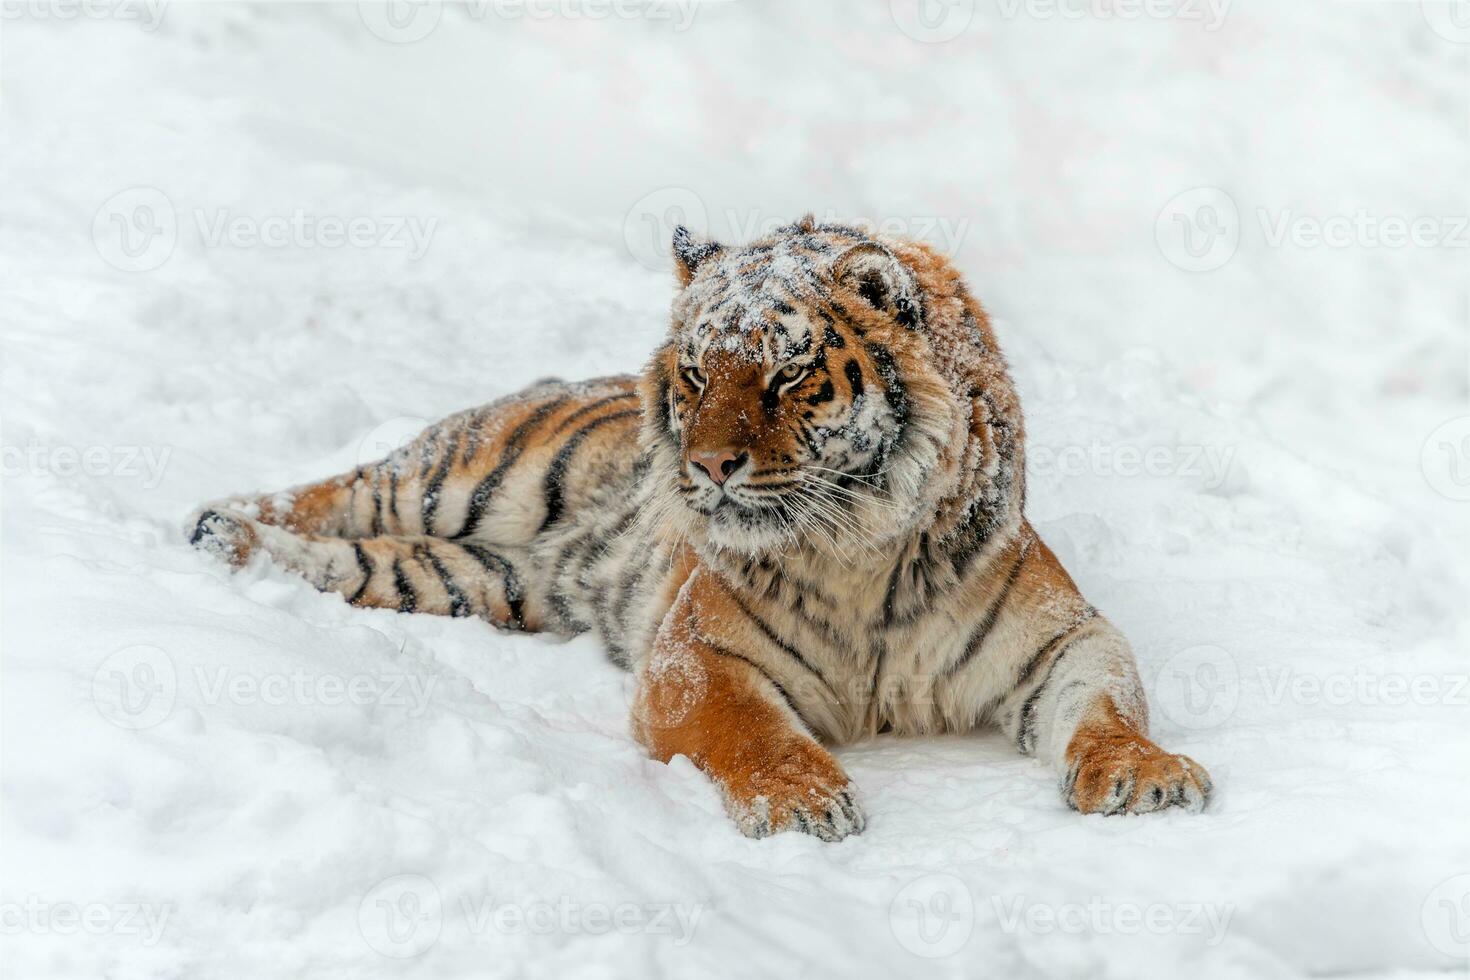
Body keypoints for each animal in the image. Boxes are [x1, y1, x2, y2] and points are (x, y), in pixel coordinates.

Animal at [189, 215, 1211, 846]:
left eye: (788, 373)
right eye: (694, 372)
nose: (709, 466)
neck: (863, 552)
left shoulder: (1064, 637)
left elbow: (1107, 706)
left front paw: (1147, 777)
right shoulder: (697, 657)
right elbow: (752, 731)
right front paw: (804, 803)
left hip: (468, 576)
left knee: (356, 560)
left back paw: (236, 549)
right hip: (467, 473)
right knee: (339, 487)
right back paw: (215, 523)